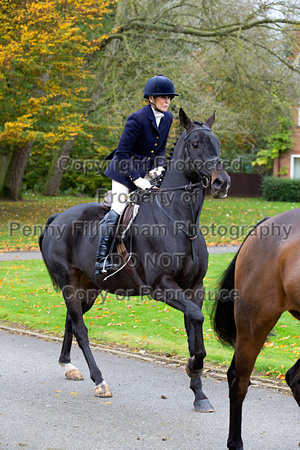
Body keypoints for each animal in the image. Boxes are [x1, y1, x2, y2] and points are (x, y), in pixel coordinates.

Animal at [39, 108, 231, 412]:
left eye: (218, 143)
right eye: (196, 144)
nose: (221, 182)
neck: (180, 220)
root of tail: (58, 217)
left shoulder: (194, 288)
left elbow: (195, 329)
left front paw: (199, 391)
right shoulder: (161, 286)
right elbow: (197, 321)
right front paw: (193, 368)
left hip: (88, 288)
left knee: (71, 320)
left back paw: (68, 366)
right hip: (69, 283)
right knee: (80, 328)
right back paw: (99, 381)